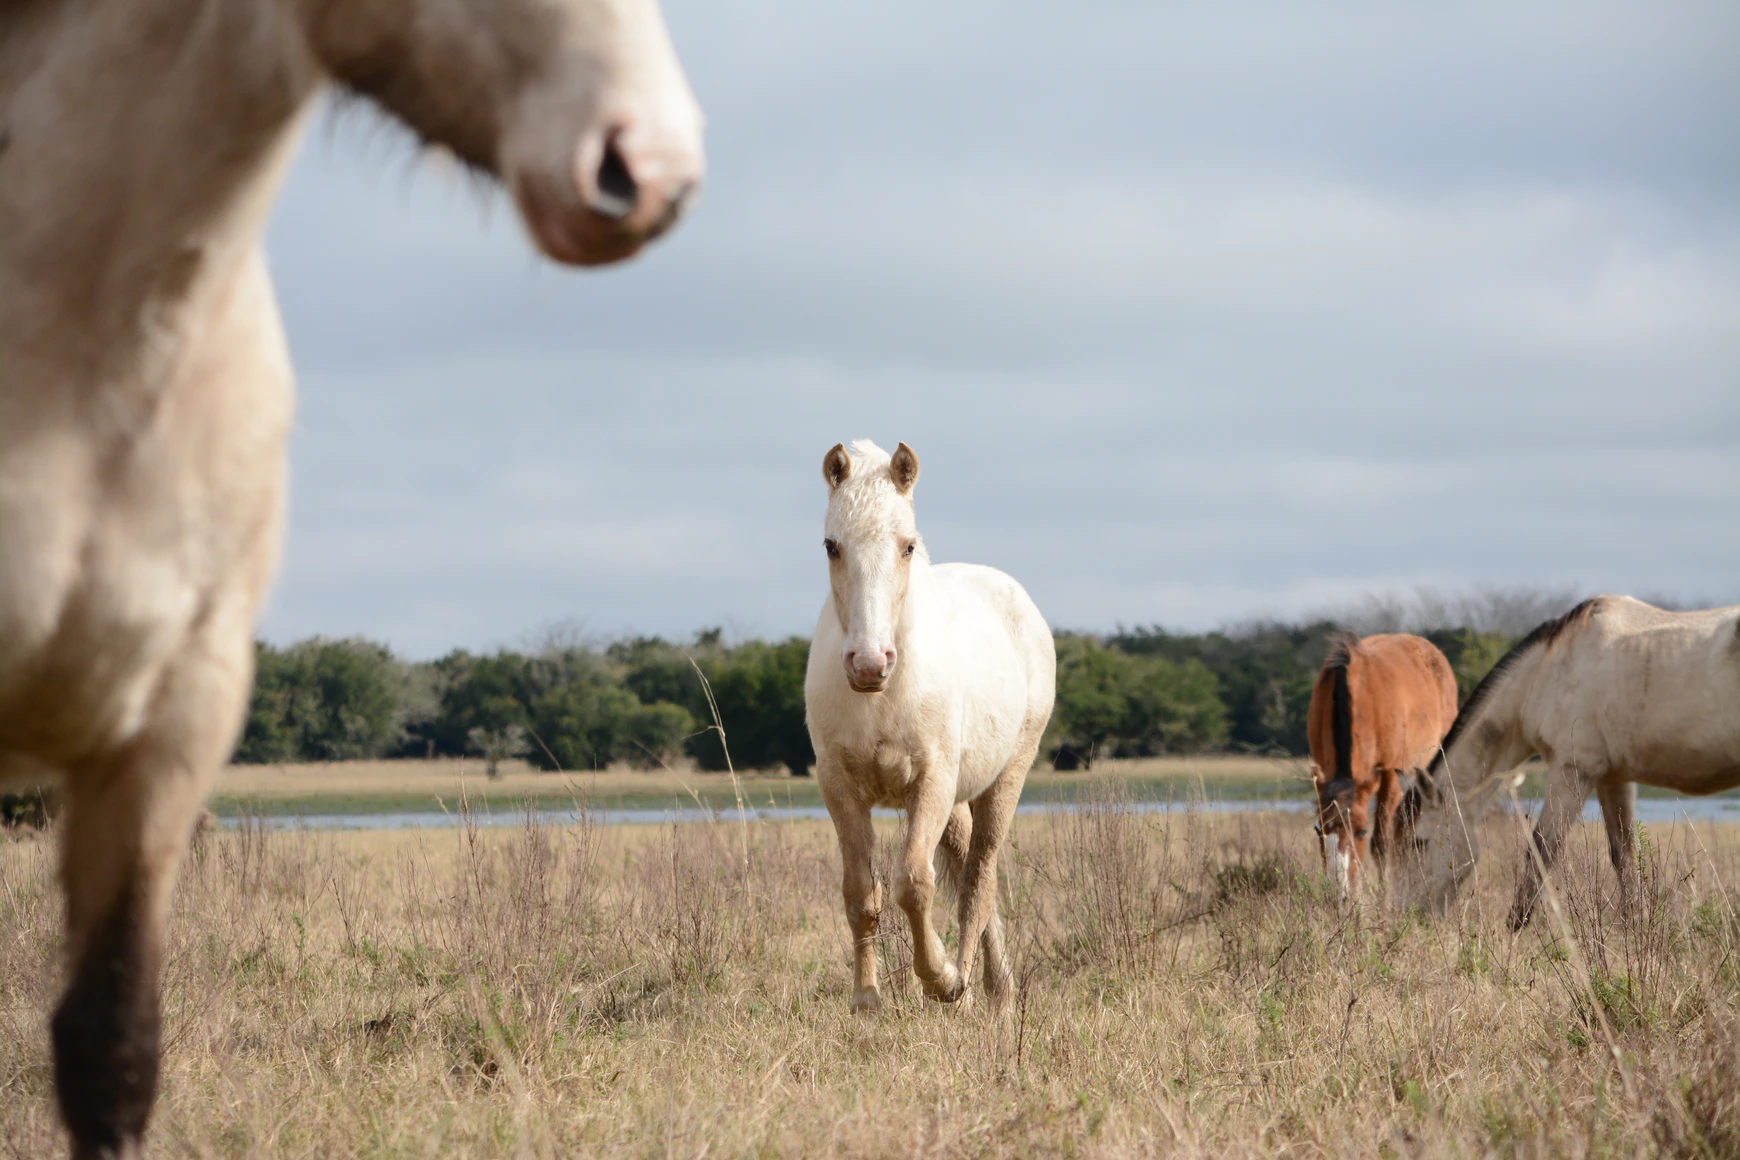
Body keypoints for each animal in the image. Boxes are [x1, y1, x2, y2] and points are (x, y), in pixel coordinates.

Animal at [803, 440, 1057, 1008]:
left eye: (907, 546)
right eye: (832, 546)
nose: (869, 665)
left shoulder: (931, 781)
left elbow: (915, 884)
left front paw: (938, 977)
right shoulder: (838, 786)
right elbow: (861, 892)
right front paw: (867, 998)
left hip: (1003, 782)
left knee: (978, 881)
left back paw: (972, 986)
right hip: (960, 800)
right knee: (968, 875)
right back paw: (989, 989)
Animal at [1412, 605, 1740, 932]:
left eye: (1419, 842)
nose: (1410, 918)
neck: (1543, 674)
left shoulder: (1571, 774)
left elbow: (1541, 850)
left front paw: (1514, 931)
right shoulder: (1613, 778)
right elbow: (1624, 854)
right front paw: (1633, 929)